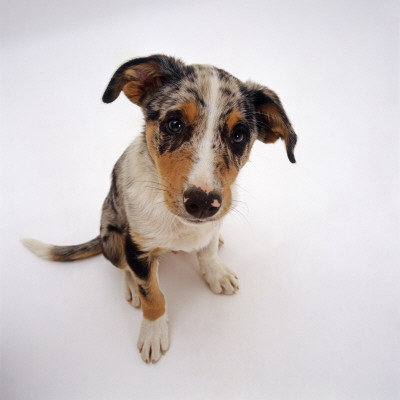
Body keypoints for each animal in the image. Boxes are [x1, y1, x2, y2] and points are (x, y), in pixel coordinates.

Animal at [21, 54, 296, 364]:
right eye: (174, 124)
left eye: (239, 135)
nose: (203, 203)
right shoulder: (138, 247)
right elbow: (152, 294)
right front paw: (153, 332)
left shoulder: (215, 220)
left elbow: (208, 250)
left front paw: (215, 272)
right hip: (112, 239)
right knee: (124, 267)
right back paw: (131, 287)